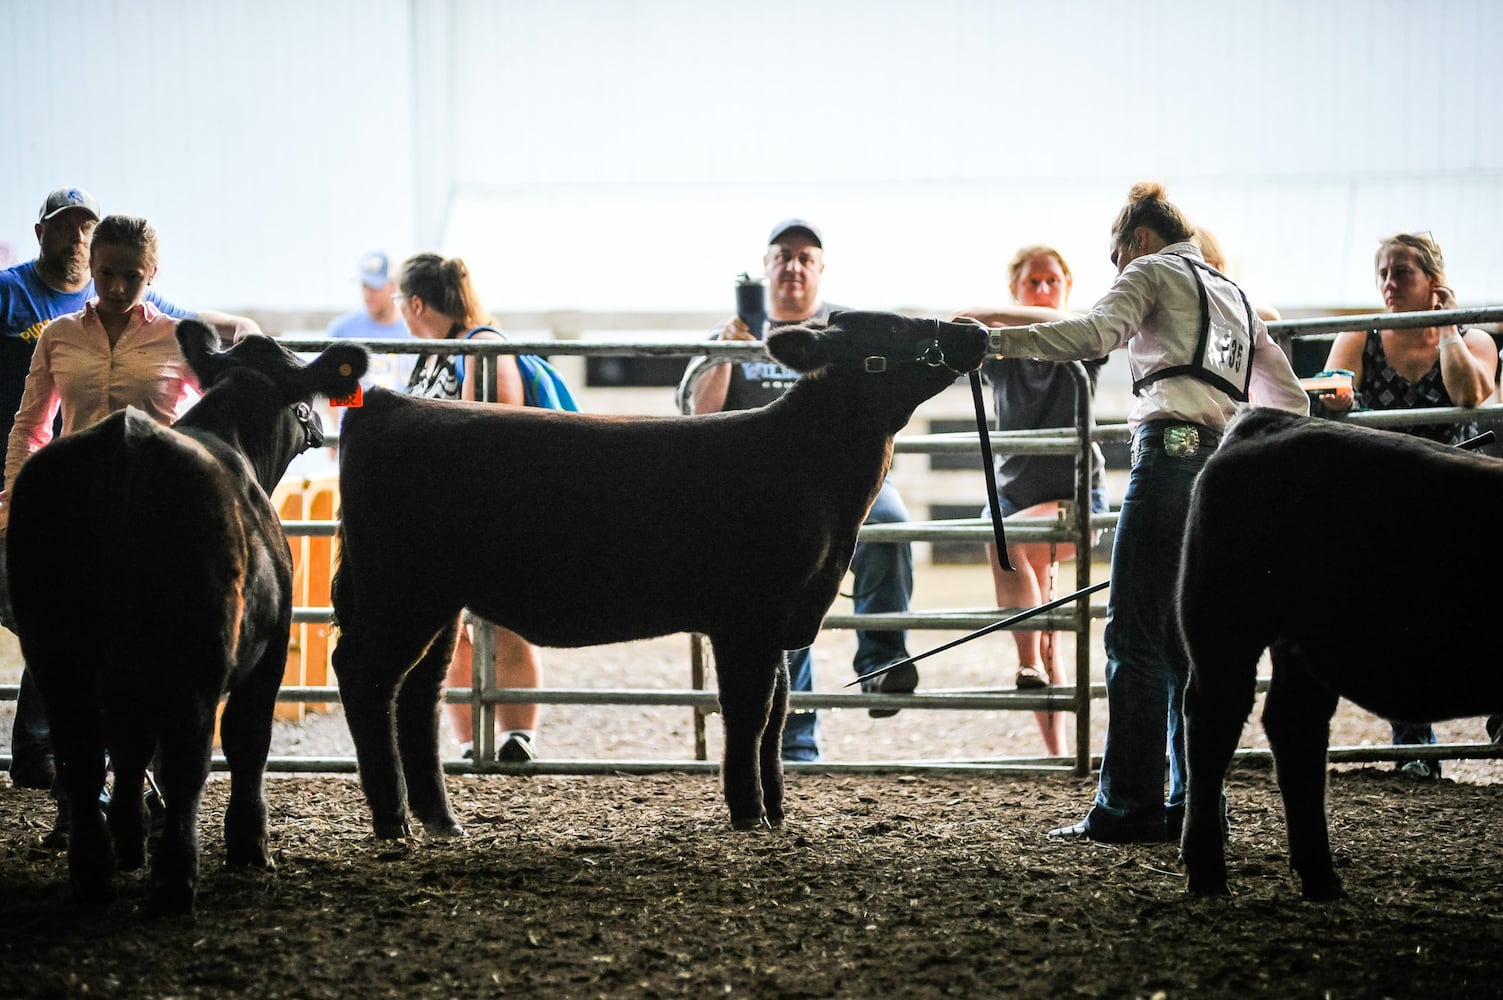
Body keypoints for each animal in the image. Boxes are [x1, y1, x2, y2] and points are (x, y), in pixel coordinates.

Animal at [6, 321, 366, 914]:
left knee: (84, 754)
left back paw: (96, 872)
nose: (319, 429)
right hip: (194, 655)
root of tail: (125, 443)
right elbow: (247, 739)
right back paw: (176, 881)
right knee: (186, 758)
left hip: (56, 652)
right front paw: (248, 846)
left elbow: (132, 746)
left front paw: (131, 837)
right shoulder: (272, 647)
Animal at [333, 309, 991, 836]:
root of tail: (388, 404)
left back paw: (441, 821)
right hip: (399, 591)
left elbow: (778, 712)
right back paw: (393, 823)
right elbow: (751, 711)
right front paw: (749, 814)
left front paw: (777, 812)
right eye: (893, 328)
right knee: (366, 676)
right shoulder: (746, 617)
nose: (975, 329)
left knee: (419, 694)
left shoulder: (783, 618)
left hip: (438, 600)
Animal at [1178, 406, 1496, 896]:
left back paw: (1320, 877)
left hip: (1299, 648)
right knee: (1214, 724)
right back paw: (1209, 873)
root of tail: (1266, 419)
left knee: (1293, 726)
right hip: (1226, 629)